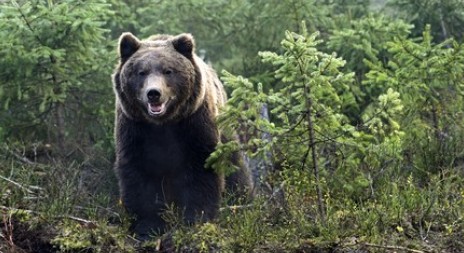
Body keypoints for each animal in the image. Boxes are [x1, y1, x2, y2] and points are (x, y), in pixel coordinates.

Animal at [112, 31, 252, 239]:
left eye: (168, 71)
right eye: (141, 72)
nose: (154, 93)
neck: (163, 123)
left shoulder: (194, 124)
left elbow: (201, 168)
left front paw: (196, 219)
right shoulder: (135, 129)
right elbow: (139, 174)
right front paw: (148, 226)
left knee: (236, 169)